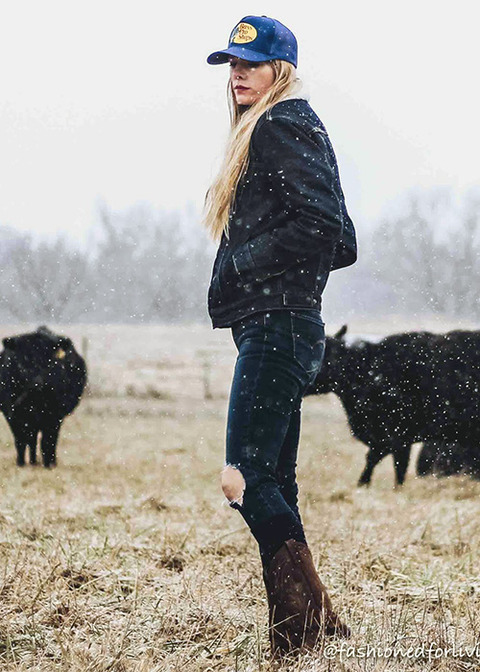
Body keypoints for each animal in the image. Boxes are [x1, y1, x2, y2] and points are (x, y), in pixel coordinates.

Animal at [0, 326, 87, 468]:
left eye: (50, 360)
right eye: (22, 360)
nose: (37, 383)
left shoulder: (54, 416)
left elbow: (47, 442)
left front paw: (48, 465)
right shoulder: (12, 414)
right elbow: (20, 441)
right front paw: (20, 463)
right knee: (31, 440)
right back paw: (32, 461)